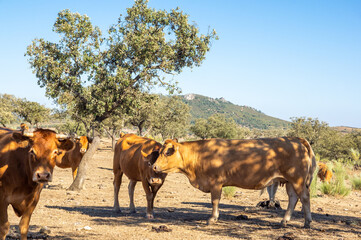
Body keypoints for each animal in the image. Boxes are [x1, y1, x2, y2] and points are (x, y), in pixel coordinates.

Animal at [153, 137, 316, 227]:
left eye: (167, 152)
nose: (154, 166)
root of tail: (295, 139)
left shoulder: (215, 183)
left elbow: (215, 201)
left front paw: (212, 218)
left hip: (297, 180)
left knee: (305, 198)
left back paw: (307, 222)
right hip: (289, 182)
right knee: (293, 199)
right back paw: (284, 221)